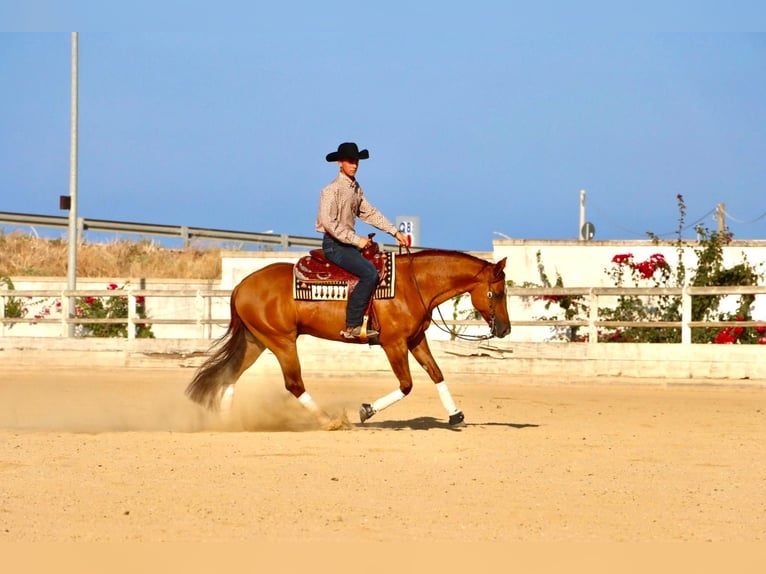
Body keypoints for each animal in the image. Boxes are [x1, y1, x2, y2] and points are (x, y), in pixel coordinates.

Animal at [185, 250, 510, 430]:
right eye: (497, 293)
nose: (505, 329)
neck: (413, 284)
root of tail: (241, 285)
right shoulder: (394, 344)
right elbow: (406, 385)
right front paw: (366, 411)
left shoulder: (416, 339)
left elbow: (436, 373)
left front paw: (455, 415)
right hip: (281, 342)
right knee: (294, 384)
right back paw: (330, 421)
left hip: (256, 340)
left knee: (229, 375)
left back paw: (227, 423)